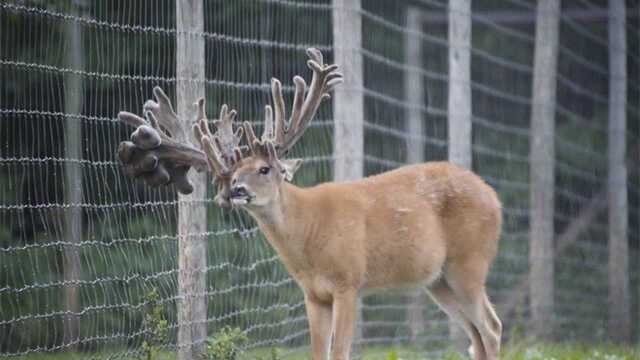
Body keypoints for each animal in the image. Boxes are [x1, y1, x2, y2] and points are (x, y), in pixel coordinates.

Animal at [117, 48, 502, 360]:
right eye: (228, 176)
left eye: (265, 168)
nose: (236, 191)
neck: (310, 233)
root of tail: (494, 197)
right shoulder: (313, 295)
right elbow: (319, 354)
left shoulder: (349, 282)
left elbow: (340, 352)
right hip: (438, 279)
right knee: (475, 334)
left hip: (469, 261)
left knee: (491, 327)